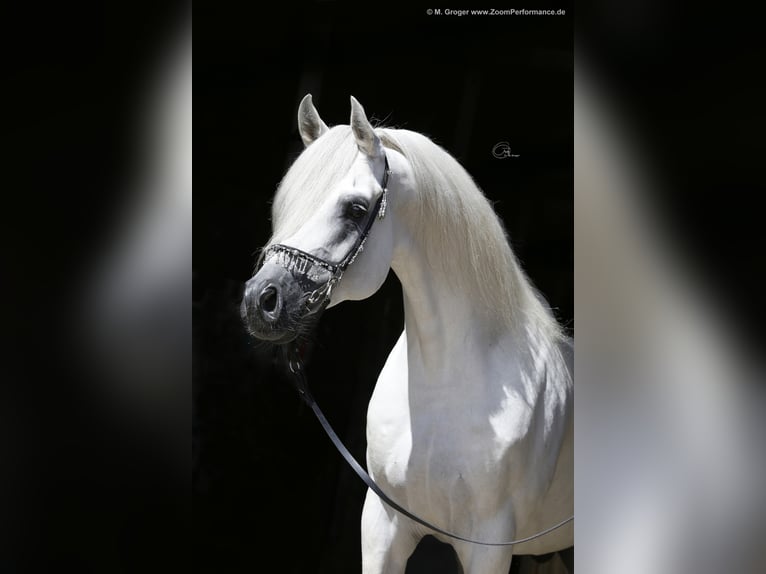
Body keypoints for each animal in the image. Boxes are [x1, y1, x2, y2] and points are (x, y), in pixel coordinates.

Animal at [243, 95, 572, 574]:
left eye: (355, 209)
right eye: (285, 206)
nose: (260, 301)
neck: (444, 386)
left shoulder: (489, 544)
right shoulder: (383, 527)